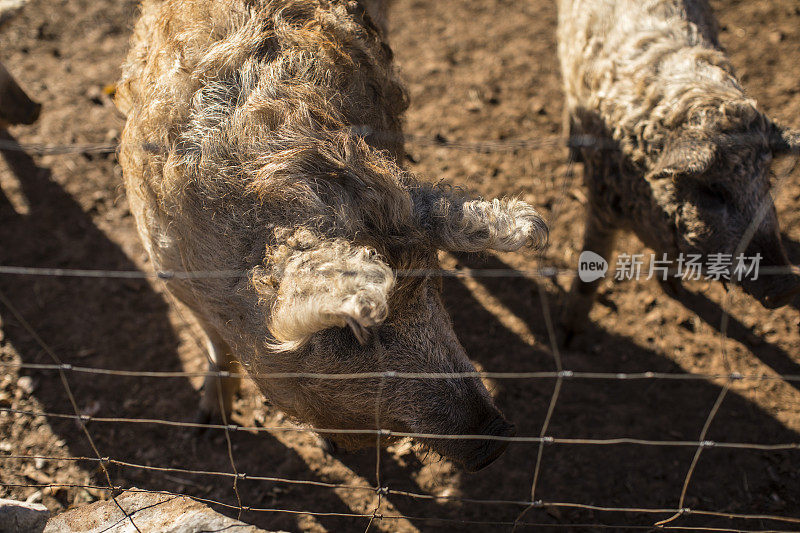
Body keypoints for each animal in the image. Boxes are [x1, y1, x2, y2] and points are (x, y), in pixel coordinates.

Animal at [114, 0, 552, 470]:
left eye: (432, 285)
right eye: (351, 334)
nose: (499, 437)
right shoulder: (167, 268)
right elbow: (215, 346)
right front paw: (208, 423)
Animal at [556, 0, 800, 338]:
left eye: (767, 181)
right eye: (713, 191)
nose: (787, 287)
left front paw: (674, 288)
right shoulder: (602, 200)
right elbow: (591, 267)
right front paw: (567, 335)